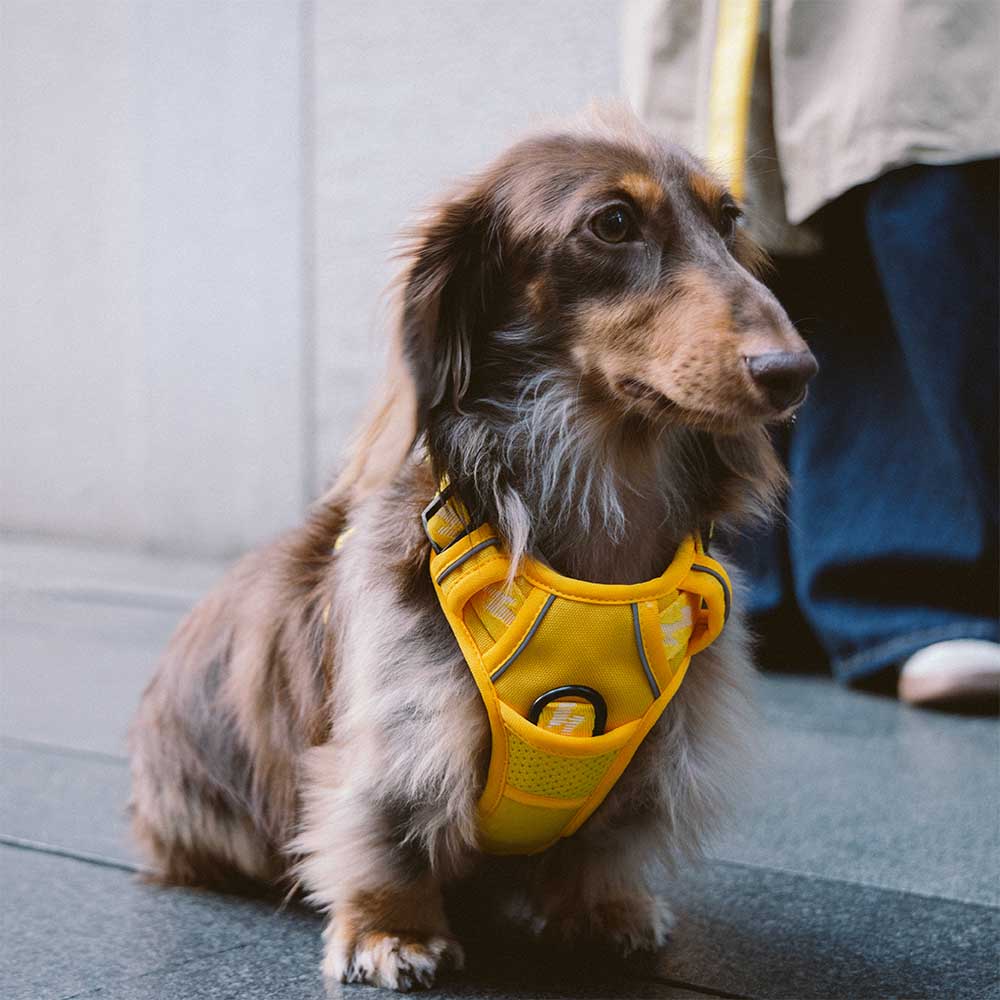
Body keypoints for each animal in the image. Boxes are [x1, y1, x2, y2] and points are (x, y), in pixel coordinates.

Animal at [131, 109, 820, 992]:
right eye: (612, 223)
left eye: (728, 219)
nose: (793, 370)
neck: (601, 530)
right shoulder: (402, 735)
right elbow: (386, 836)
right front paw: (391, 932)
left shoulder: (654, 751)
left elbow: (601, 851)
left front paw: (603, 913)